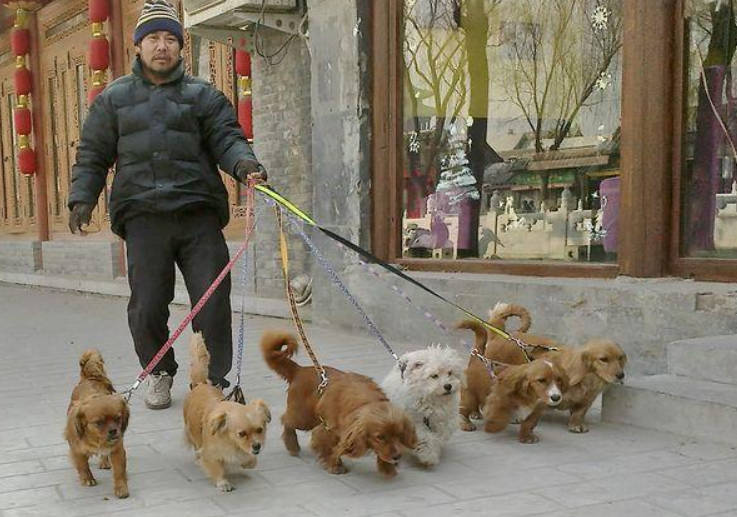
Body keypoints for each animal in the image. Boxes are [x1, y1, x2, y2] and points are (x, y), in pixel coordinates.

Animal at [64, 348, 129, 498]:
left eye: (118, 419)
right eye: (99, 423)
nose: (113, 431)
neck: (96, 439)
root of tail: (89, 378)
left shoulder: (117, 450)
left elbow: (119, 471)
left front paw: (121, 488)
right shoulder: (76, 449)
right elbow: (82, 465)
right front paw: (87, 479)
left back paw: (104, 462)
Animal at [183, 332, 272, 490]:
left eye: (260, 430)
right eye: (241, 434)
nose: (257, 446)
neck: (232, 444)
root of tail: (200, 384)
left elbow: (250, 460)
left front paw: (246, 463)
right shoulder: (209, 454)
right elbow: (216, 467)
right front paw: (223, 482)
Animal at [262, 330, 416, 476]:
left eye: (399, 434)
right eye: (380, 437)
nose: (397, 457)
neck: (365, 403)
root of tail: (299, 370)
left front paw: (387, 468)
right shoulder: (327, 429)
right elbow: (330, 448)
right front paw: (336, 466)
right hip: (303, 418)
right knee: (286, 420)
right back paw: (292, 444)